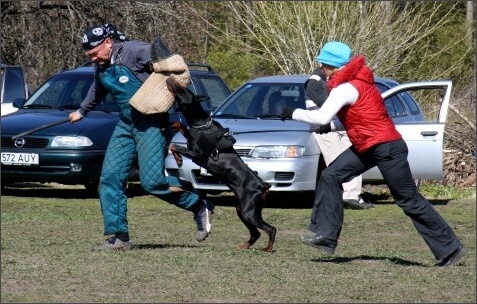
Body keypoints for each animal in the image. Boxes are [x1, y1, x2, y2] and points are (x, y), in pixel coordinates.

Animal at [166, 78, 276, 252]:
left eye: (182, 90)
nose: (169, 79)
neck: (201, 124)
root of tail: (262, 187)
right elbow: (179, 126)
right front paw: (171, 125)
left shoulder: (199, 156)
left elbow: (175, 146)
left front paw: (178, 159)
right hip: (241, 210)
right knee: (256, 233)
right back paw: (245, 246)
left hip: (249, 212)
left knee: (271, 229)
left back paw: (268, 249)